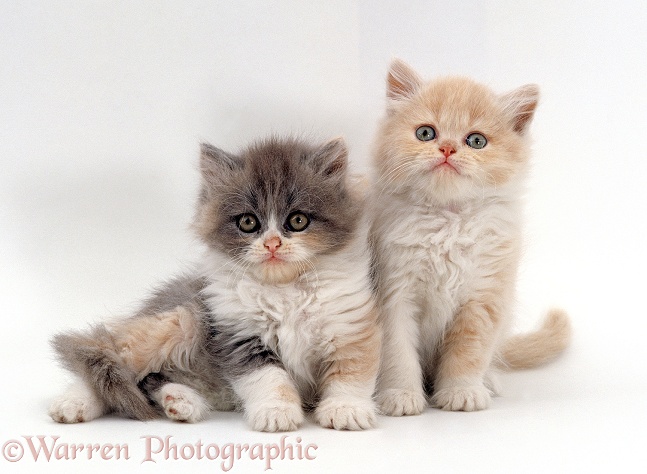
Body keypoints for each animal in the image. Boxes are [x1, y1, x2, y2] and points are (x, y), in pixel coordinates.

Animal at [52, 135, 384, 432]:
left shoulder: (349, 327)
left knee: (147, 379)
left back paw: (180, 402)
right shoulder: (239, 335)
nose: (272, 244)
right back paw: (74, 403)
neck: (283, 290)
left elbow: (351, 374)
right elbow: (270, 379)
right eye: (248, 222)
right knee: (104, 356)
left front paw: (345, 409)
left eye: (298, 220)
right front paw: (275, 412)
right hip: (184, 319)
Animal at [370, 59, 572, 414]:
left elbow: (469, 352)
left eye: (476, 141)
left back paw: (488, 381)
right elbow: (398, 353)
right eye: (426, 133)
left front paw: (461, 392)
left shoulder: (484, 296)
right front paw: (400, 395)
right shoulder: (395, 293)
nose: (448, 148)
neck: (448, 221)